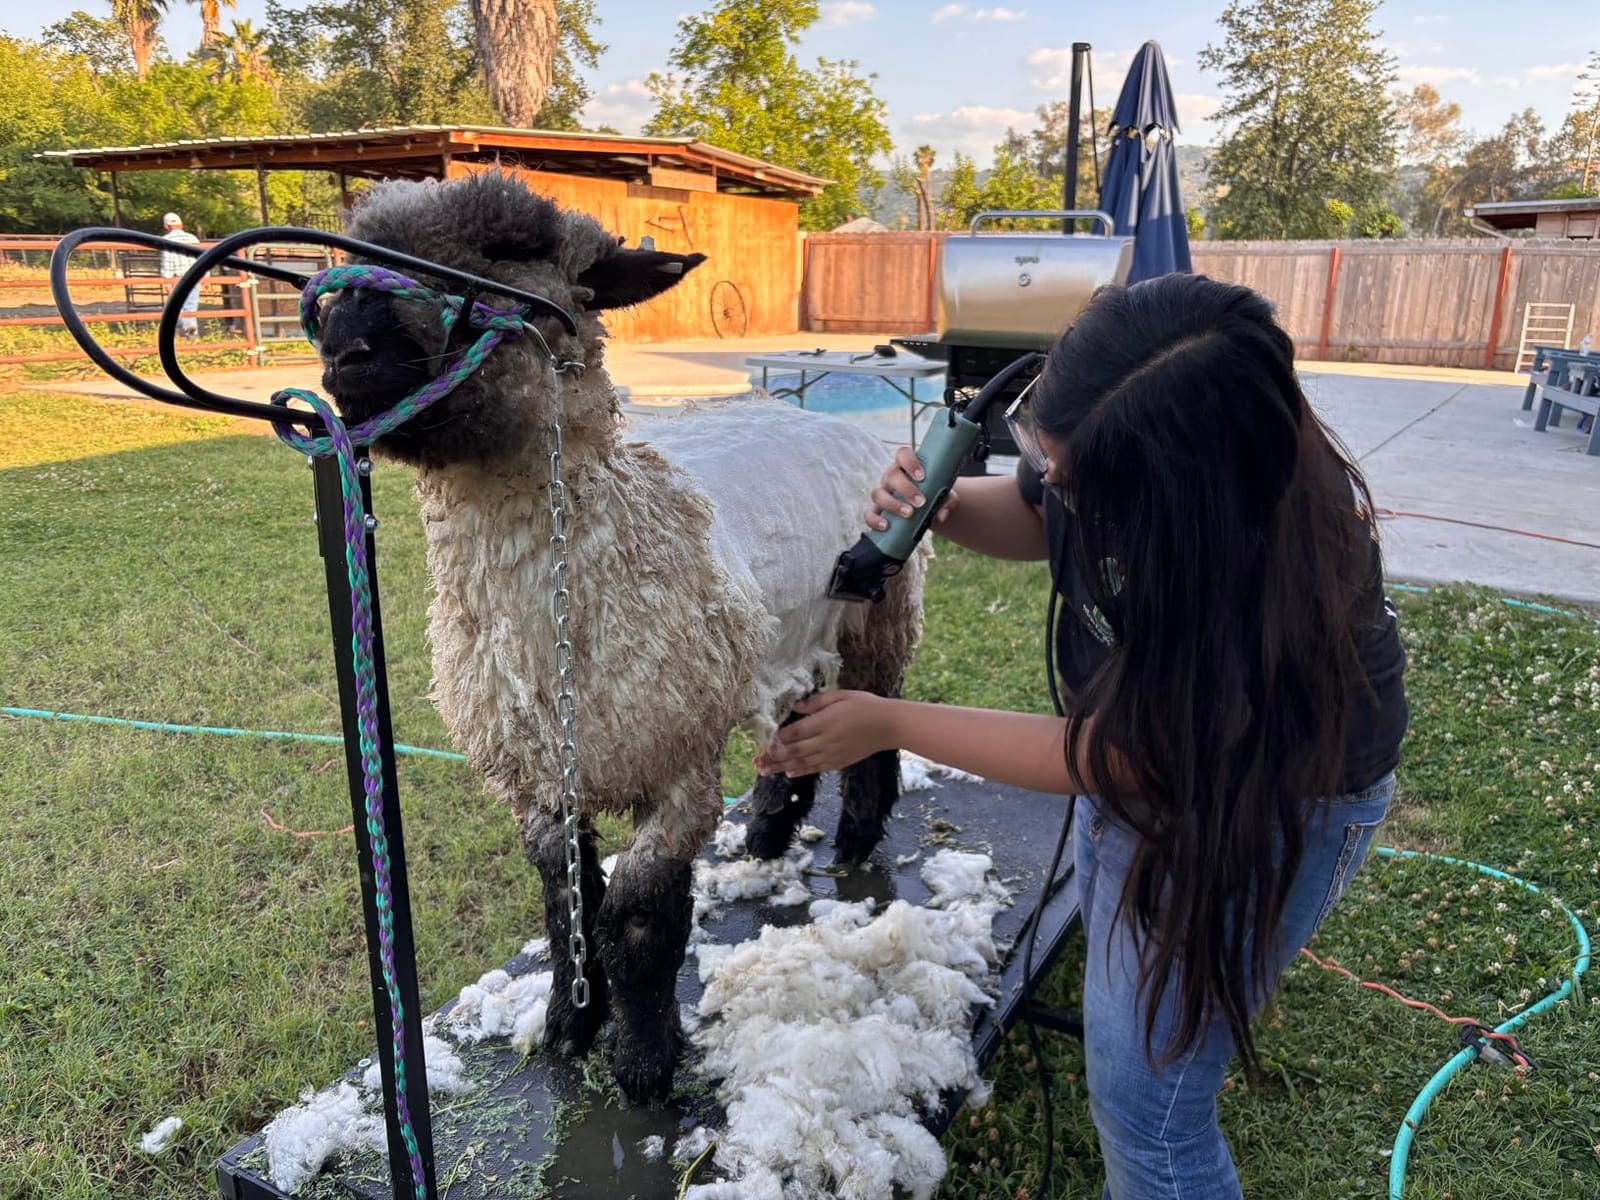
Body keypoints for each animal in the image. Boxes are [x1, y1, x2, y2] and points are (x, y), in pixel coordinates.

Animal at [314, 169, 928, 1101]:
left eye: (512, 249)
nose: (345, 347)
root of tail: (828, 420)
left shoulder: (677, 766)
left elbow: (637, 920)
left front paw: (643, 1064)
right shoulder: (535, 780)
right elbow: (564, 903)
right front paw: (569, 1024)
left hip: (880, 616)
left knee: (875, 724)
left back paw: (857, 836)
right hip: (785, 635)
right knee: (798, 720)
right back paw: (769, 833)